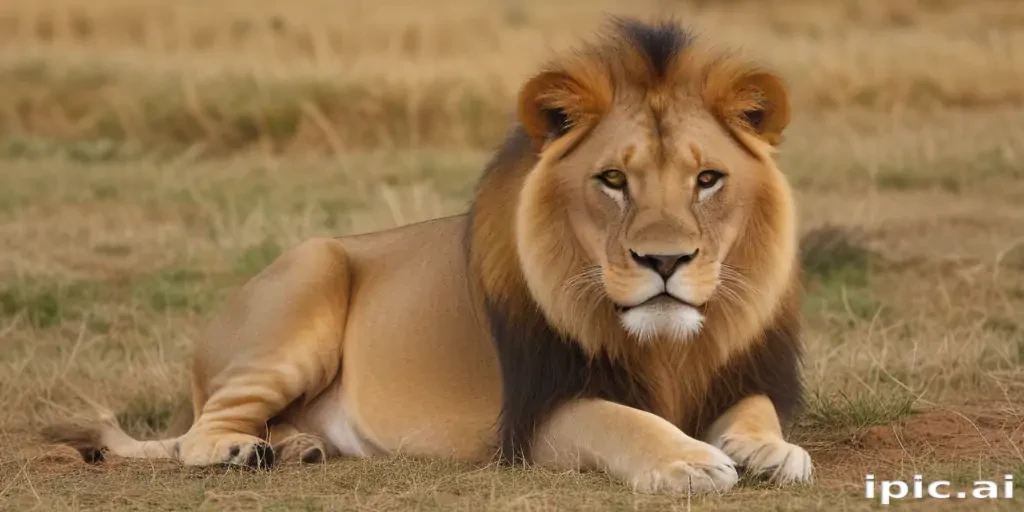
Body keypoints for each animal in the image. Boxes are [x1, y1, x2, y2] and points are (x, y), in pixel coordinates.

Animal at [44, 17, 812, 494]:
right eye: (613, 180)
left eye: (707, 179)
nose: (665, 262)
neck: (668, 348)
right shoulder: (535, 414)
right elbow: (625, 421)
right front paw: (689, 460)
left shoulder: (739, 373)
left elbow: (757, 411)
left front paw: (771, 450)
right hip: (306, 284)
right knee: (197, 433)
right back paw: (240, 449)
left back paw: (297, 447)